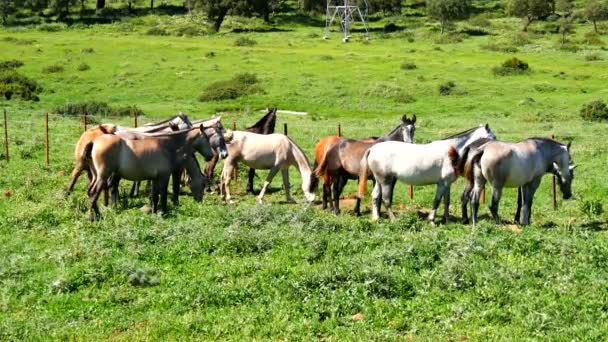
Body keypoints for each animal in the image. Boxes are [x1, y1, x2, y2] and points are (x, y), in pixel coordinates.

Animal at [358, 124, 496, 223]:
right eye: (493, 137)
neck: (451, 152)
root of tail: (372, 149)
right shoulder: (442, 184)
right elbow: (437, 201)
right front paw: (431, 220)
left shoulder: (447, 184)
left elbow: (446, 202)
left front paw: (447, 221)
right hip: (386, 180)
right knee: (386, 200)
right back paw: (394, 220)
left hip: (379, 180)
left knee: (375, 196)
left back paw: (376, 218)